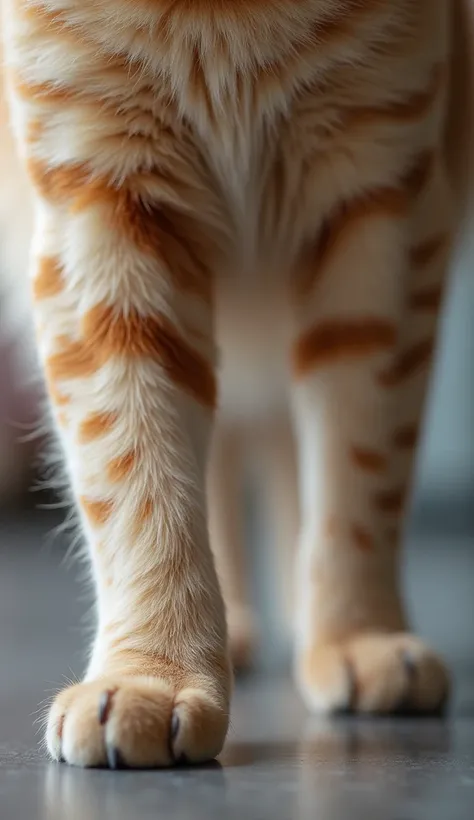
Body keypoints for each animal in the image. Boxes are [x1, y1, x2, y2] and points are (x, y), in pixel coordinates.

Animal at [0, 0, 472, 768]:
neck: (220, 17)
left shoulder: (382, 206)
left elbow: (358, 470)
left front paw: (356, 635)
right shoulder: (101, 202)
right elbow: (140, 480)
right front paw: (154, 674)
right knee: (219, 462)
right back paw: (242, 630)